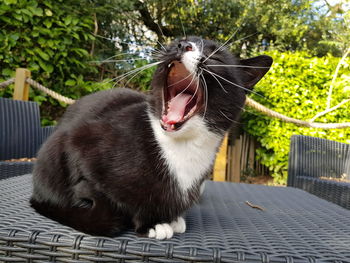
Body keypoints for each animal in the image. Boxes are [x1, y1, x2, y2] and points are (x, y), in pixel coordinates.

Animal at [30, 36, 272, 240]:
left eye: (216, 56)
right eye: (178, 40)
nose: (182, 45)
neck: (182, 146)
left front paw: (171, 218)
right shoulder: (77, 140)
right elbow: (96, 191)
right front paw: (152, 223)